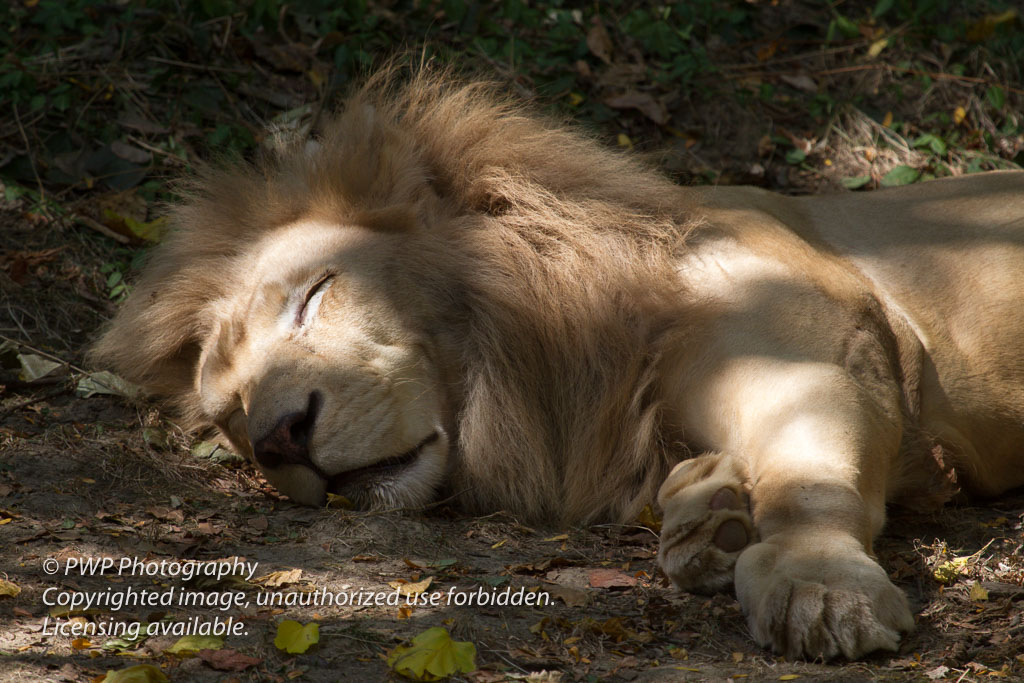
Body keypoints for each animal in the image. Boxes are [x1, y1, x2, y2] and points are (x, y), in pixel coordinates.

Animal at [92, 69, 1024, 663]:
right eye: (230, 418)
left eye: (315, 294)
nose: (281, 438)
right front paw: (712, 514)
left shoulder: (820, 336)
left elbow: (812, 477)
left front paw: (816, 583)